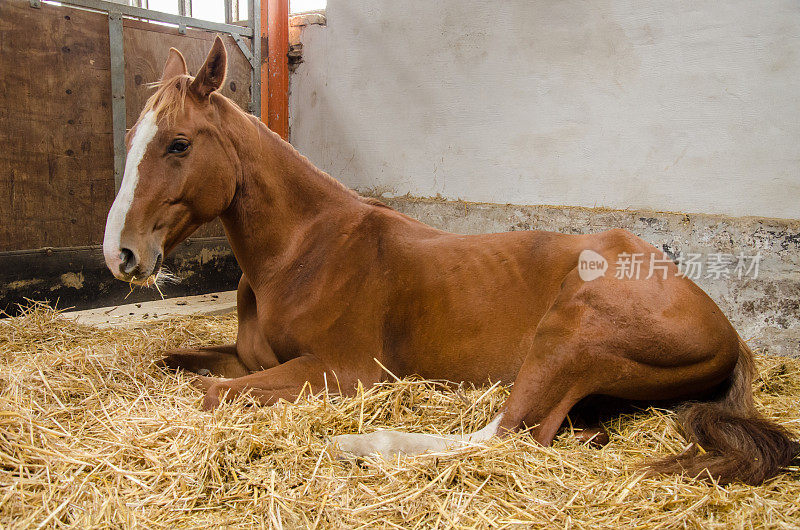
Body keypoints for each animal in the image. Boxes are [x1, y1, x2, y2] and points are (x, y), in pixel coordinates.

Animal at [103, 36, 796, 482]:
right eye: (137, 136)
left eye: (178, 143)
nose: (121, 253)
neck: (304, 252)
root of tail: (726, 329)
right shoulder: (254, 358)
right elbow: (176, 363)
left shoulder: (344, 371)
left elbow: (212, 395)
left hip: (573, 334)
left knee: (510, 431)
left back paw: (361, 444)